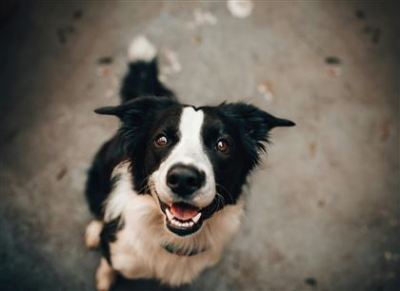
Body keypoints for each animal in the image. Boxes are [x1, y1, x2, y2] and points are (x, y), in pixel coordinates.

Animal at [84, 35, 296, 290]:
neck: (174, 240)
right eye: (161, 139)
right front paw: (105, 278)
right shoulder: (118, 252)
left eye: (222, 144)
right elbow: (108, 263)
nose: (184, 179)